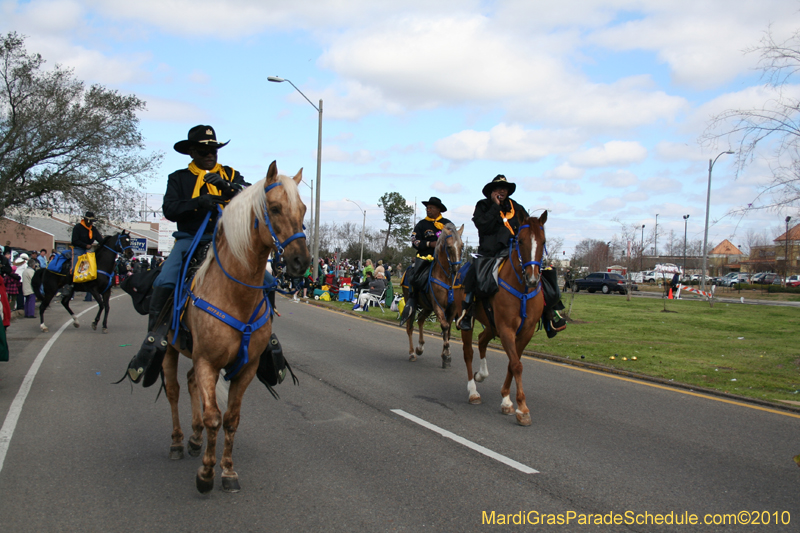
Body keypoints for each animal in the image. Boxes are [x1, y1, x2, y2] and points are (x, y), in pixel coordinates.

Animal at [162, 160, 310, 492]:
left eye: (304, 209)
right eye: (275, 208)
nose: (301, 262)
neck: (235, 296)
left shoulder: (247, 368)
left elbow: (230, 419)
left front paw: (228, 471)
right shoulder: (207, 361)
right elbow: (214, 418)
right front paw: (206, 474)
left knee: (189, 383)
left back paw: (193, 439)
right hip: (170, 349)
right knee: (174, 390)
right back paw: (177, 442)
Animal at [404, 222, 466, 368]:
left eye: (462, 246)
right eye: (449, 247)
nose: (457, 269)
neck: (447, 279)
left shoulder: (452, 309)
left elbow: (448, 330)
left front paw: (445, 354)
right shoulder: (438, 306)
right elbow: (445, 326)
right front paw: (446, 354)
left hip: (427, 306)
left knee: (420, 319)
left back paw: (420, 347)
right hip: (412, 303)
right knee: (410, 327)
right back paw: (412, 353)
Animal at [460, 211, 548, 424]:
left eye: (543, 241)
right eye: (521, 241)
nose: (533, 279)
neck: (522, 290)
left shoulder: (525, 332)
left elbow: (512, 364)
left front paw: (507, 401)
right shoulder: (507, 329)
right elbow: (516, 364)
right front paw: (522, 408)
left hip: (492, 324)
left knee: (482, 340)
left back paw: (481, 374)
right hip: (471, 322)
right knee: (468, 352)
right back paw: (473, 392)